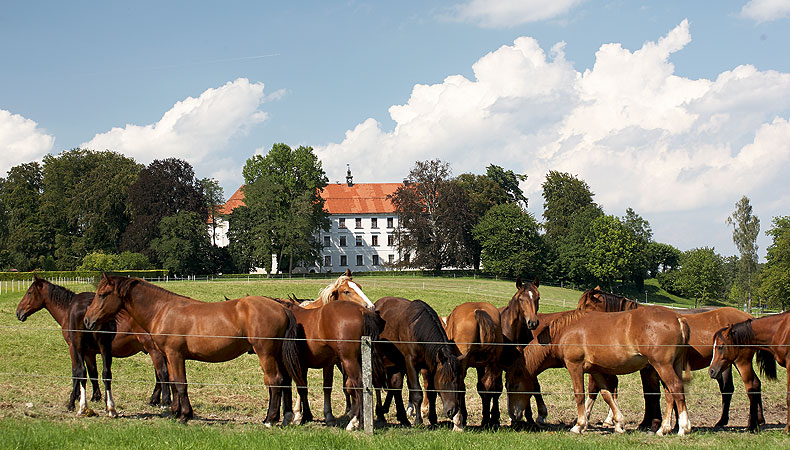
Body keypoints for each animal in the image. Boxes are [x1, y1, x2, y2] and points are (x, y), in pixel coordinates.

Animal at [15, 276, 172, 416]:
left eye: (29, 293)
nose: (18, 312)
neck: (68, 310)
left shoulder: (74, 349)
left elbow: (77, 373)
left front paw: (74, 400)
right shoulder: (89, 352)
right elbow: (93, 373)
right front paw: (97, 397)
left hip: (154, 351)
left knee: (162, 373)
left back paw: (163, 402)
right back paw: (154, 400)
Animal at [83, 272, 298, 424]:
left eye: (102, 295)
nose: (87, 320)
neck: (163, 310)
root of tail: (282, 308)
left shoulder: (175, 355)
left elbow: (180, 384)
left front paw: (185, 415)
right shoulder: (169, 357)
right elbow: (173, 383)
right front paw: (175, 413)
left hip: (265, 354)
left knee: (275, 381)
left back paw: (269, 420)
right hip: (276, 355)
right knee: (284, 382)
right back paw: (282, 418)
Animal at [280, 298, 388, 428]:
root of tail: (362, 311)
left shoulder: (295, 365)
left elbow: (299, 388)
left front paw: (303, 416)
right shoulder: (305, 365)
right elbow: (304, 388)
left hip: (349, 361)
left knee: (359, 385)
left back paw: (360, 422)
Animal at [374, 298, 468, 430]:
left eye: (458, 381)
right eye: (444, 381)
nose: (452, 411)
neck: (417, 330)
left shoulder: (430, 367)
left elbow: (432, 392)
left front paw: (433, 418)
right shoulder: (410, 364)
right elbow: (417, 393)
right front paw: (418, 421)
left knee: (396, 385)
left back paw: (403, 418)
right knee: (377, 384)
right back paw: (380, 414)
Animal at [580, 290, 772, 430]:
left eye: (583, 308)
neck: (632, 324)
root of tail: (749, 319)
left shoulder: (651, 368)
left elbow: (653, 393)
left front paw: (654, 423)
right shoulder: (648, 369)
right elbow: (651, 393)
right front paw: (653, 422)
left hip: (741, 361)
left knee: (751, 385)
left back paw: (752, 424)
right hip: (724, 364)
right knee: (732, 389)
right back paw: (739, 421)